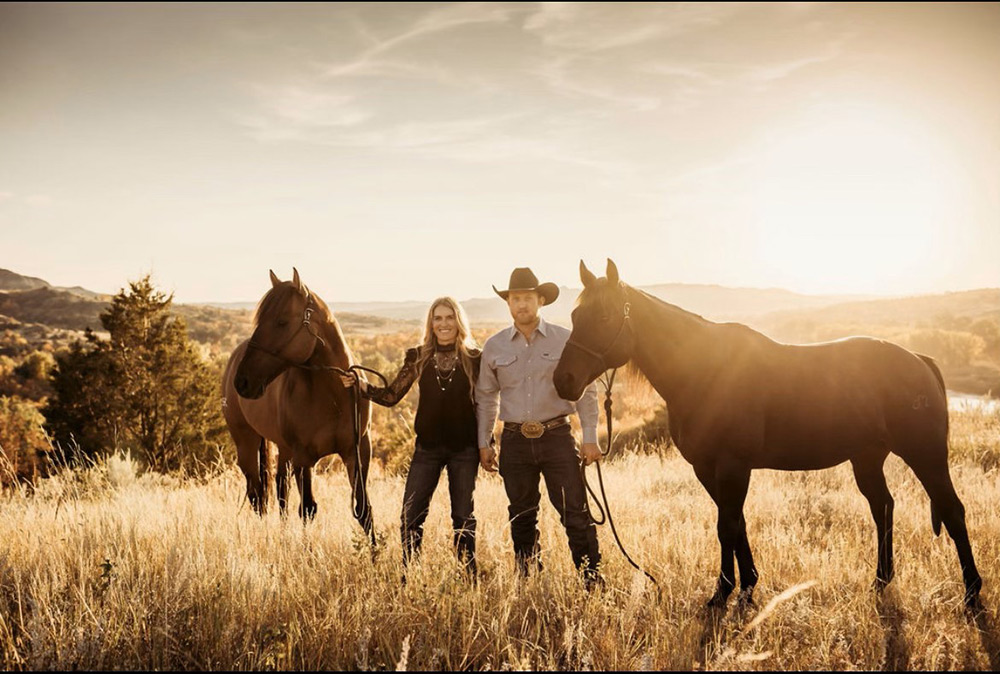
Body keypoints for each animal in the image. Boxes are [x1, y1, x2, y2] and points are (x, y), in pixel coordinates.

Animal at [222, 268, 376, 540]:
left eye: (282, 322)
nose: (242, 382)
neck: (334, 396)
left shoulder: (357, 452)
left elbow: (363, 509)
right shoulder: (304, 459)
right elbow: (307, 509)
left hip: (284, 450)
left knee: (280, 490)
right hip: (247, 446)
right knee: (257, 497)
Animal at [556, 258, 984, 608]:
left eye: (606, 316)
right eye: (575, 316)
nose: (563, 381)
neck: (703, 370)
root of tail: (920, 360)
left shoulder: (732, 466)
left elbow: (727, 525)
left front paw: (724, 592)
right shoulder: (707, 469)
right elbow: (735, 523)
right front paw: (746, 586)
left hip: (925, 456)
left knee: (952, 510)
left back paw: (971, 593)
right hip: (867, 459)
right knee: (883, 508)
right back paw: (881, 581)